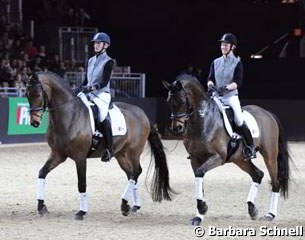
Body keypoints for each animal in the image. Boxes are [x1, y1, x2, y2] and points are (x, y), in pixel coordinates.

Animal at [25, 72, 173, 220]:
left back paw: (124, 204)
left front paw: (81, 212)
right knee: (131, 174)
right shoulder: (58, 154)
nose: (34, 122)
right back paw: (132, 206)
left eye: (37, 94)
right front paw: (41, 206)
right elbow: (42, 173)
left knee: (136, 172)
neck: (69, 116)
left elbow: (81, 183)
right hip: (120, 154)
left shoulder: (80, 157)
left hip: (134, 152)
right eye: (27, 94)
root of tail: (142, 114)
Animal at [163, 74, 290, 226]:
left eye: (182, 101)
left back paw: (270, 214)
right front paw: (199, 215)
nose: (177, 128)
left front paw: (202, 209)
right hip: (240, 159)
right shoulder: (195, 159)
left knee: (275, 182)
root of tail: (267, 113)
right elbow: (199, 180)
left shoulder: (218, 157)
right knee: (258, 175)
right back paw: (252, 209)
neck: (203, 121)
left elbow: (200, 174)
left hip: (269, 155)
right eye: (169, 101)